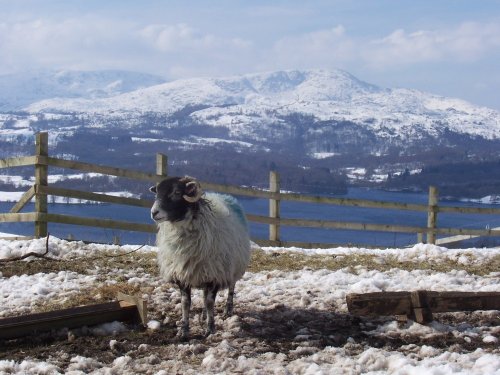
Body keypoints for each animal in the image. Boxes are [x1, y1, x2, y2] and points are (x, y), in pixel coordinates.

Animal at [148, 176, 250, 340]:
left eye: (177, 192)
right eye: (156, 193)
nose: (154, 212)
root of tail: (225, 196)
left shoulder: (216, 274)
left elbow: (210, 302)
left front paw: (210, 329)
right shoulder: (182, 274)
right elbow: (186, 303)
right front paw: (184, 330)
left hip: (233, 266)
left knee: (231, 288)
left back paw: (227, 310)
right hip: (203, 270)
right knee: (204, 293)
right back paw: (203, 315)